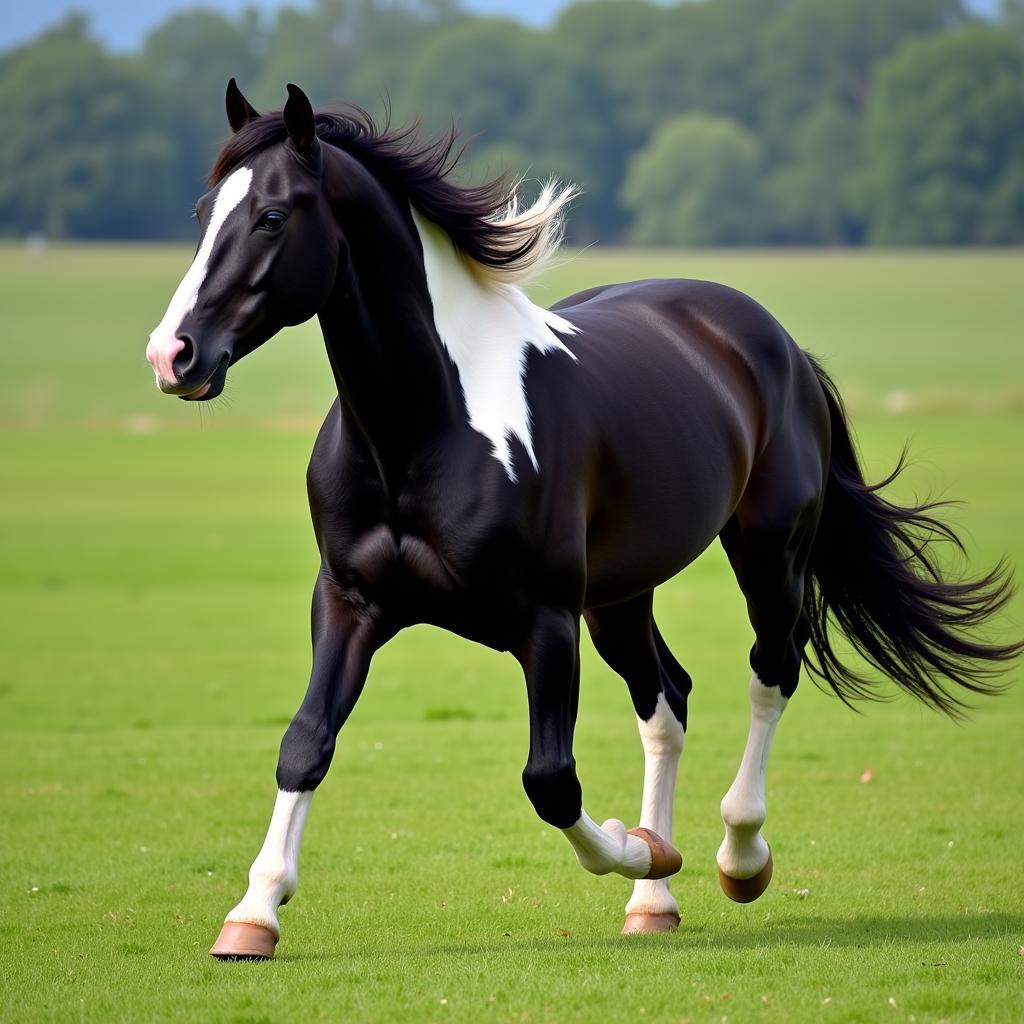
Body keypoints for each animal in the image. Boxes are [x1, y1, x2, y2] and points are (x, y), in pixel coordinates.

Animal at [144, 81, 1015, 958]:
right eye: (202, 212)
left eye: (272, 217)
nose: (172, 355)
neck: (425, 429)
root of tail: (775, 341)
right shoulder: (351, 604)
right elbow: (305, 743)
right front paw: (252, 916)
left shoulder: (546, 622)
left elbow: (550, 781)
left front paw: (640, 846)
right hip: (622, 597)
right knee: (668, 699)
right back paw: (653, 904)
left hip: (767, 558)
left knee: (770, 673)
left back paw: (738, 858)